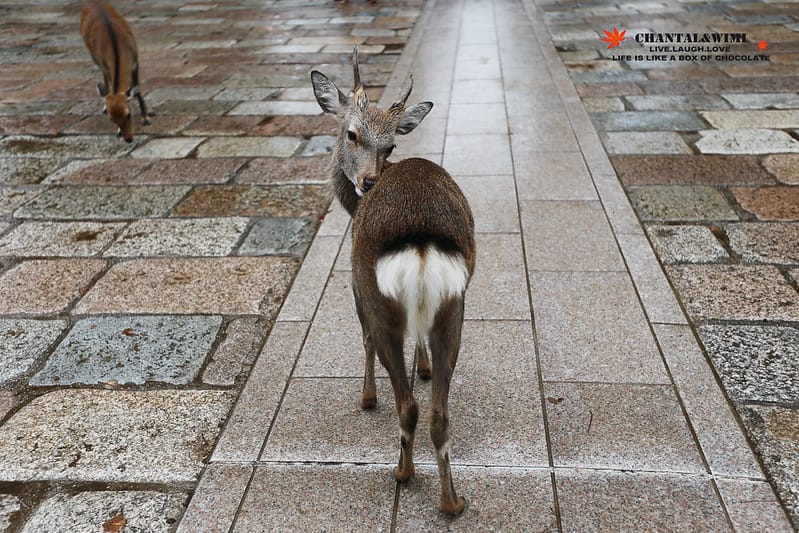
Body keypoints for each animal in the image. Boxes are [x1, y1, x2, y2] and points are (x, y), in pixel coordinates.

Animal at [80, 0, 150, 143]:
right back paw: (104, 105)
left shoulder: (136, 62)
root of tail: (91, 2)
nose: (128, 139)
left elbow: (137, 89)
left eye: (128, 114)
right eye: (112, 119)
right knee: (105, 80)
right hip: (95, 58)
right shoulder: (105, 64)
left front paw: (146, 118)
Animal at [311, 48, 476, 516]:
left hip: (377, 294)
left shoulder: (354, 284)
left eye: (390, 145)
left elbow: (363, 338)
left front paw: (366, 397)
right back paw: (452, 501)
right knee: (439, 411)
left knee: (409, 404)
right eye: (352, 134)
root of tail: (419, 241)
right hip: (455, 304)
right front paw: (423, 366)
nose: (367, 181)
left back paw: (402, 472)